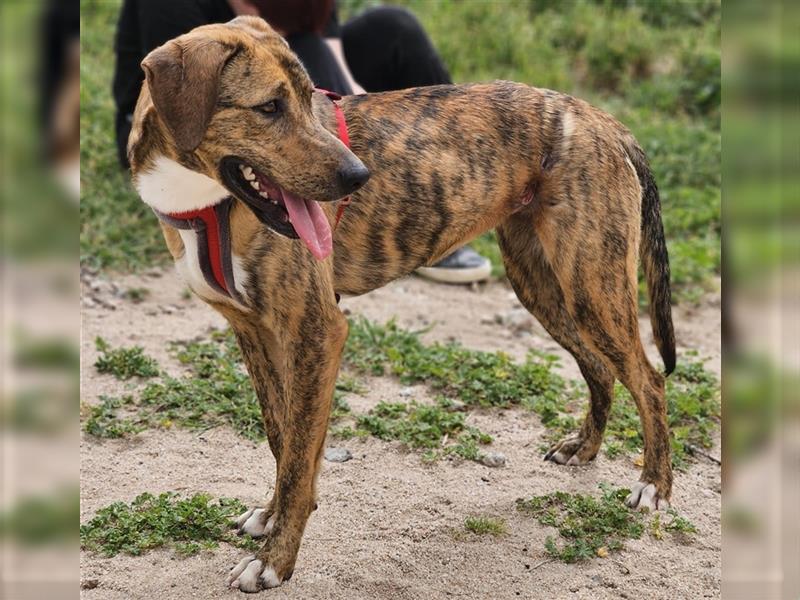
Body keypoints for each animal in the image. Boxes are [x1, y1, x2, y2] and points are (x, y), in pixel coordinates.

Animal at [130, 16, 676, 592]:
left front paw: (276, 560)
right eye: (270, 107)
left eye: (306, 97)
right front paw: (274, 516)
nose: (358, 177)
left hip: (591, 284)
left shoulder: (317, 333)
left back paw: (654, 486)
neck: (201, 200)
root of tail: (602, 119)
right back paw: (585, 448)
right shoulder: (255, 334)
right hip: (545, 287)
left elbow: (299, 457)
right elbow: (284, 441)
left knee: (649, 379)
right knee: (600, 367)